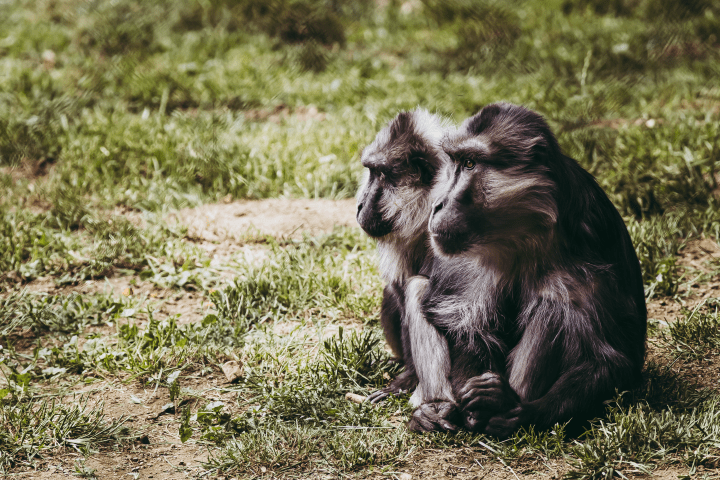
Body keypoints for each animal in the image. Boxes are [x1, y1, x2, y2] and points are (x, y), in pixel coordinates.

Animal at [404, 103, 647, 437]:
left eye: (470, 164)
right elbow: (461, 321)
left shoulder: (588, 240)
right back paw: (436, 408)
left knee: (554, 303)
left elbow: (612, 359)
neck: (523, 232)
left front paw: (520, 411)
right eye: (454, 163)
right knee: (419, 287)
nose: (437, 204)